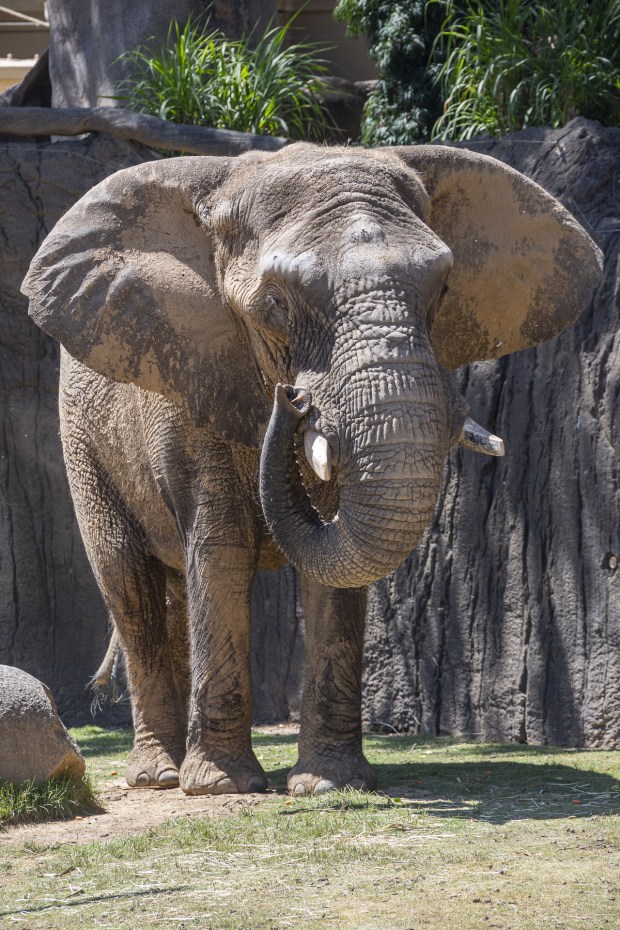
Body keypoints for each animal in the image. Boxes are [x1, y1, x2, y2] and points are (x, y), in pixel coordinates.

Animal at [22, 142, 602, 796]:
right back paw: (159, 777)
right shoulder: (187, 385)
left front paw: (329, 784)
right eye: (275, 305)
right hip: (83, 440)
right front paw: (223, 787)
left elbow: (334, 567)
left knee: (173, 591)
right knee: (131, 584)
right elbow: (221, 547)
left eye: (444, 288)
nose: (293, 400)